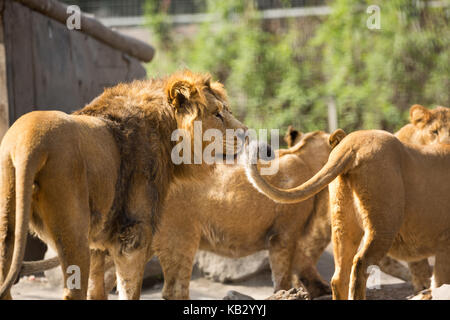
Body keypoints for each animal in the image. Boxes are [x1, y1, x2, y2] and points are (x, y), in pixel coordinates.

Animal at [0, 70, 246, 300]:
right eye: (217, 114)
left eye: (228, 111)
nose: (245, 133)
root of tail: (29, 140)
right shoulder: (132, 236)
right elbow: (130, 290)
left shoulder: (98, 246)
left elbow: (97, 291)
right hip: (74, 232)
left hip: (9, 229)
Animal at [153, 130, 332, 300]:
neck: (306, 159)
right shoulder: (283, 235)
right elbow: (283, 277)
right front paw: (287, 293)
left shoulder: (291, 237)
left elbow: (306, 266)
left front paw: (324, 290)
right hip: (180, 236)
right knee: (175, 290)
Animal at [246, 129, 450, 298]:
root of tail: (351, 145)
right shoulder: (445, 243)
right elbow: (440, 283)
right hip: (383, 225)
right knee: (360, 264)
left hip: (342, 227)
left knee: (339, 277)